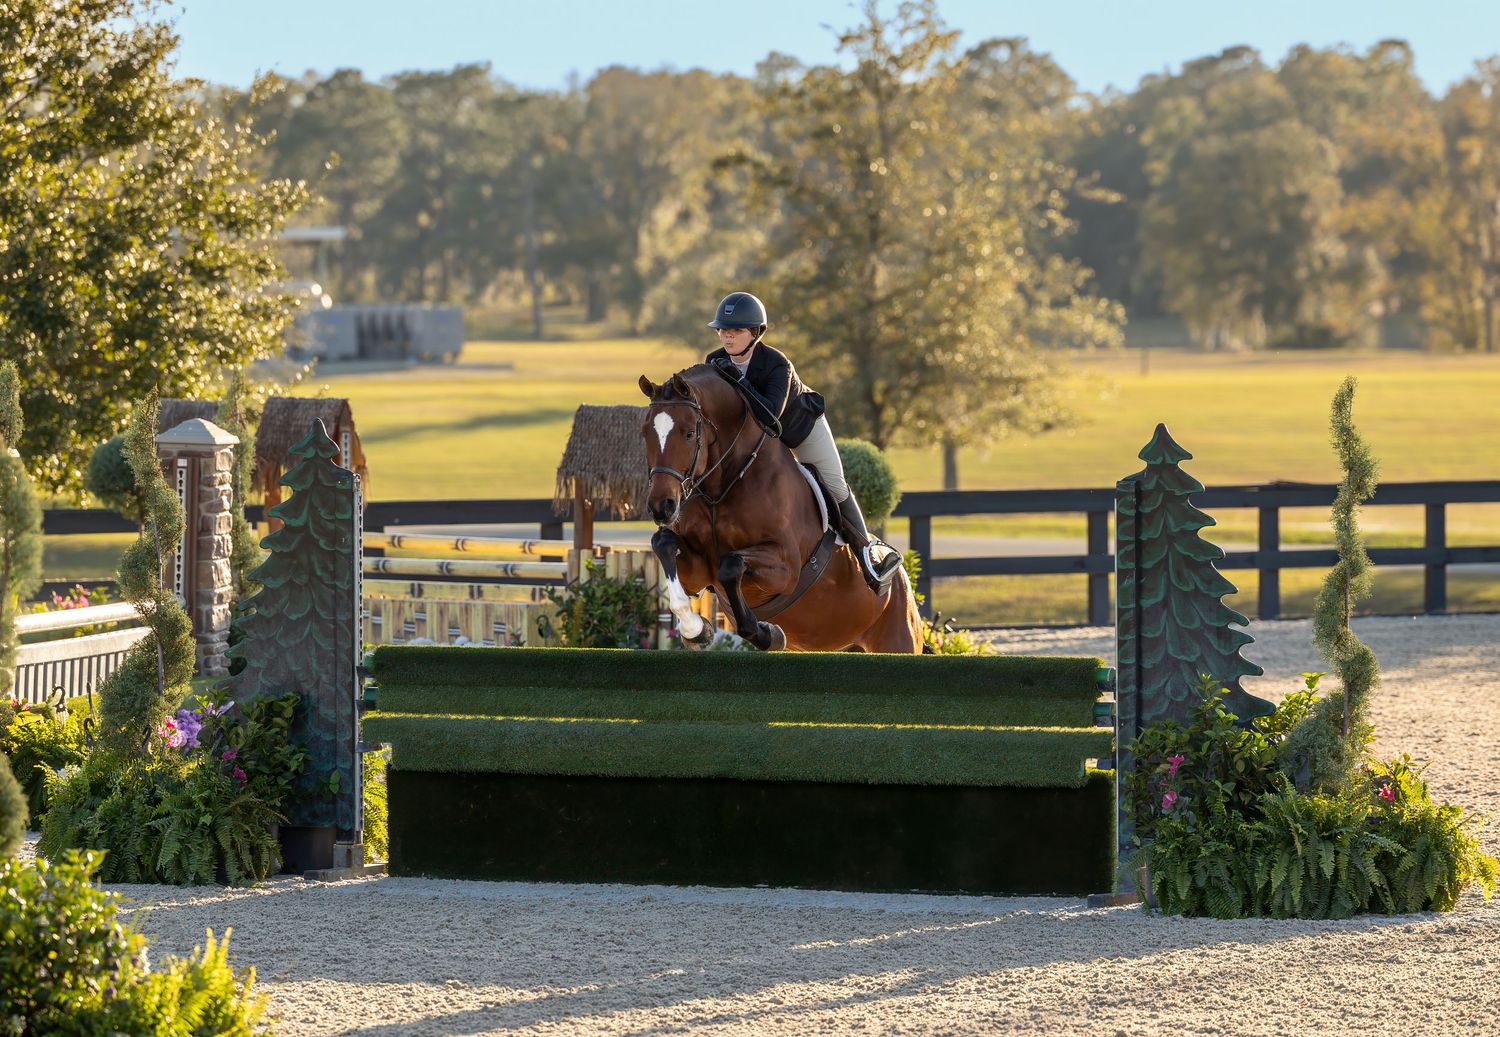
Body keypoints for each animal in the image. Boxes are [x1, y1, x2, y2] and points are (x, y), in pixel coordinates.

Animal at [638, 364, 923, 653]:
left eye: (688, 434)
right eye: (645, 433)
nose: (661, 506)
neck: (721, 490)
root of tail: (903, 581)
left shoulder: (786, 568)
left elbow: (731, 564)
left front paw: (766, 633)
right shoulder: (699, 568)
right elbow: (663, 545)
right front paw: (696, 631)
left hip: (898, 639)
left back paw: (878, 566)